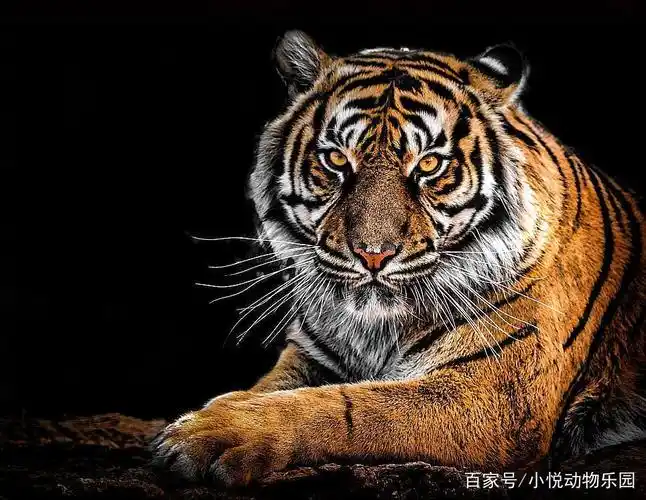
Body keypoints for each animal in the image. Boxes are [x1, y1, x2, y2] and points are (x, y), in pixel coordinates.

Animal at [150, 30, 646, 486]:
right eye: (336, 160)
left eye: (428, 165)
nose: (373, 255)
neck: (374, 329)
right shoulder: (310, 355)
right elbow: (270, 388)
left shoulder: (496, 395)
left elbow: (351, 406)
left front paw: (209, 434)